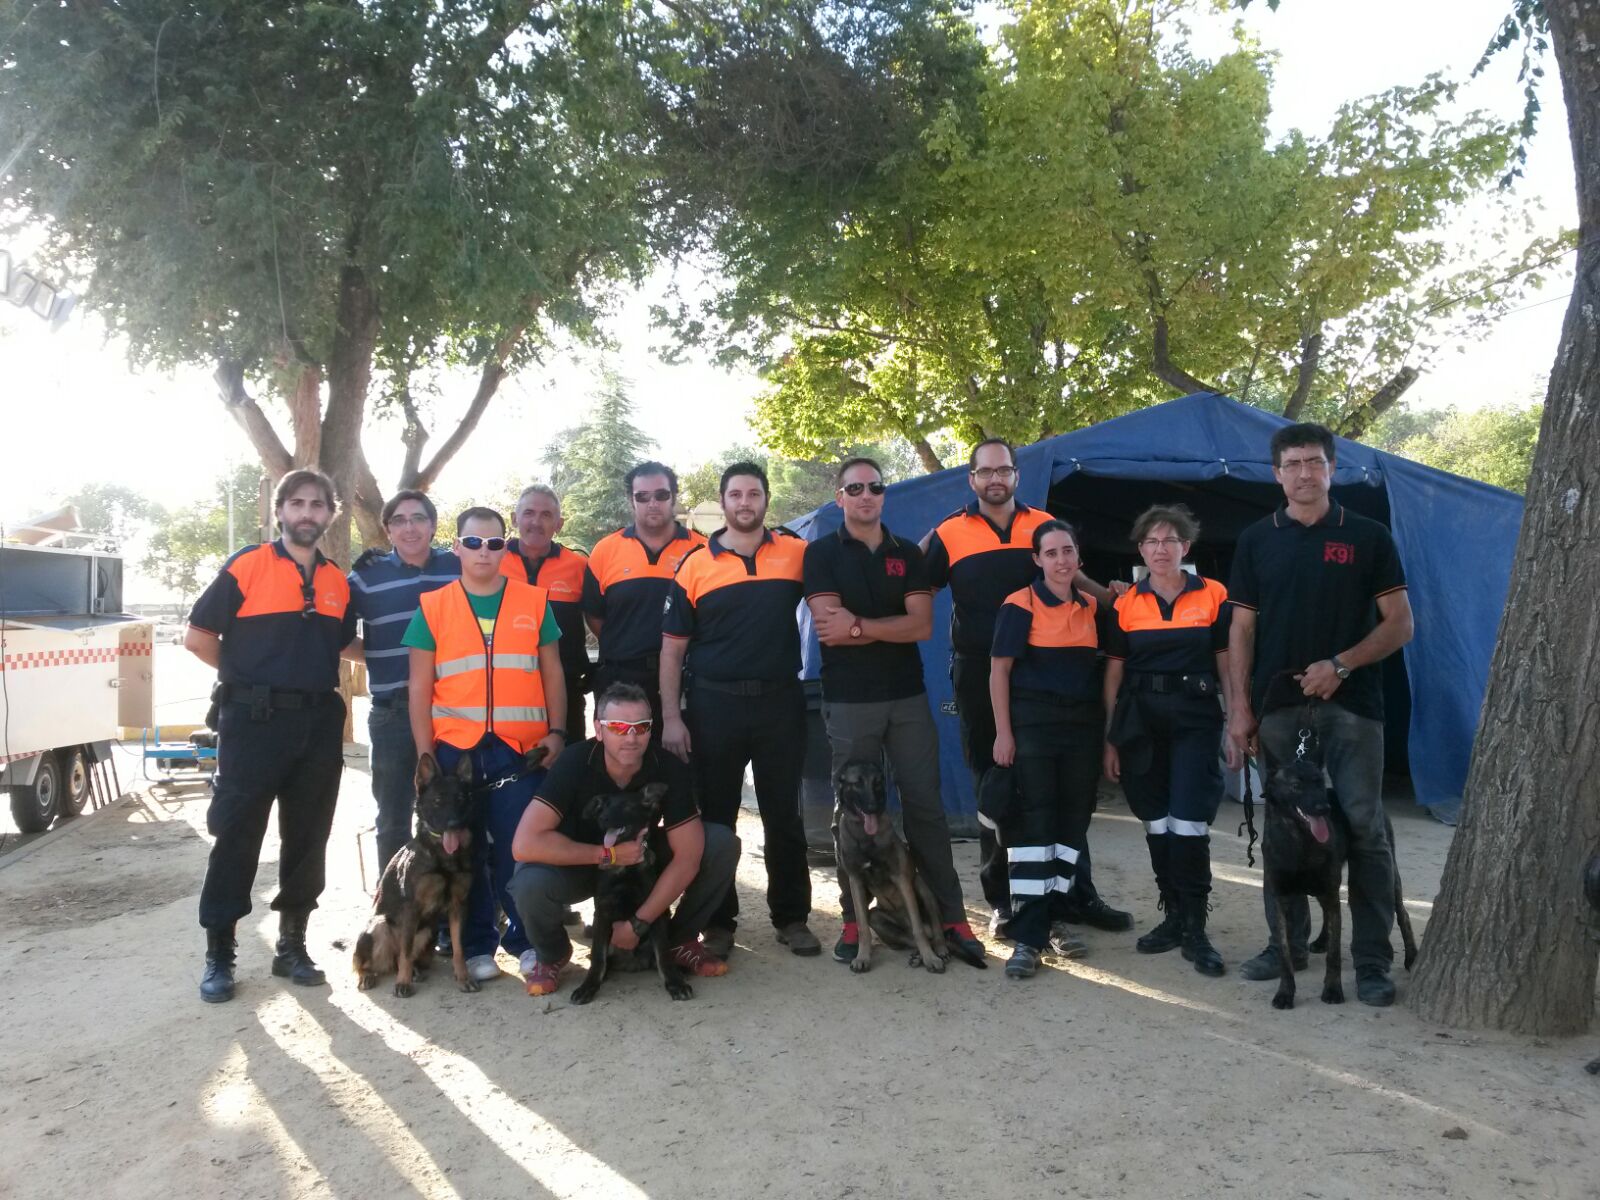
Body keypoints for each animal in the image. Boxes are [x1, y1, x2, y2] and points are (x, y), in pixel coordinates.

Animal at [350, 755, 473, 998]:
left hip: (426, 931)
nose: (454, 824)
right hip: (379, 925)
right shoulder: (411, 909)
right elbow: (406, 953)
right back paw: (368, 976)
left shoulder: (457, 906)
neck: (442, 856)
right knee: (366, 961)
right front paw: (403, 983)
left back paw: (414, 971)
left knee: (400, 957)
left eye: (461, 798)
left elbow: (459, 949)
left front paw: (463, 977)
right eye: (437, 800)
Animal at [566, 784, 691, 1011]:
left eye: (625, 806)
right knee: (604, 958)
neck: (626, 868)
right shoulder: (603, 912)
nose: (603, 818)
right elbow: (598, 957)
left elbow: (663, 954)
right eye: (602, 807)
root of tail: (632, 964)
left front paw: (675, 983)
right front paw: (588, 987)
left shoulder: (656, 909)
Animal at [838, 761, 972, 979]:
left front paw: (930, 958)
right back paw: (917, 955)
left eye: (877, 782)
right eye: (857, 783)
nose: (872, 808)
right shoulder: (855, 881)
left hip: (921, 886)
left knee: (933, 932)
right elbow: (862, 927)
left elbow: (918, 930)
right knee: (907, 938)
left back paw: (939, 951)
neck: (865, 837)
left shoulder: (902, 879)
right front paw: (862, 957)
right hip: (877, 917)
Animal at [1260, 761, 1427, 1004]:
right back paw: (1321, 940)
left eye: (1319, 782)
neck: (1299, 841)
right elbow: (1284, 954)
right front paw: (1285, 993)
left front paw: (1332, 990)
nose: (1324, 808)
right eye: (1296, 786)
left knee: (1403, 914)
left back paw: (1412, 957)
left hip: (1388, 873)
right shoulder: (1281, 900)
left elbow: (1334, 953)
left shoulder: (1329, 892)